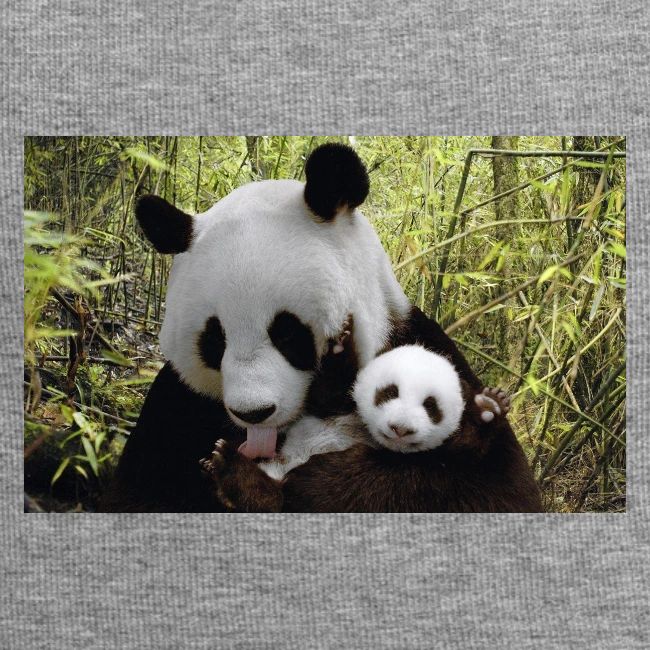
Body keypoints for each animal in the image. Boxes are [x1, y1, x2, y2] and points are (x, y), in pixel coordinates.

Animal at [100, 143, 541, 513]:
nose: (254, 413)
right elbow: (138, 492)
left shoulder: (423, 347)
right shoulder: (178, 405)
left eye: (287, 333)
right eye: (215, 340)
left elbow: (491, 488)